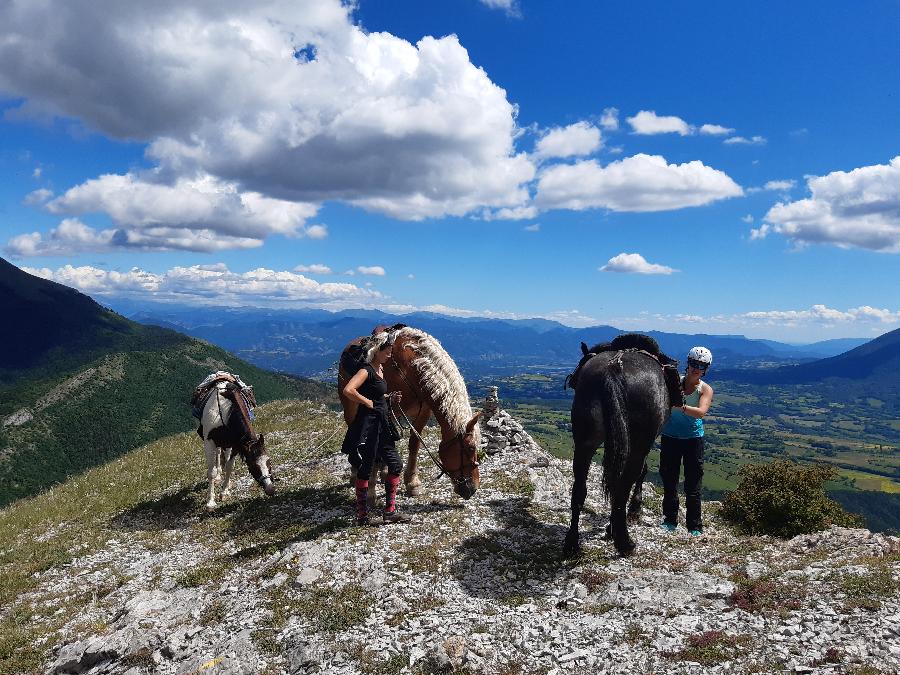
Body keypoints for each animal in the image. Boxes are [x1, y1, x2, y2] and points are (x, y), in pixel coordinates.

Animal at [200, 378, 274, 510]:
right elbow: (211, 472)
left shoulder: (236, 444)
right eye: (253, 466)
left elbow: (230, 466)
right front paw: (210, 502)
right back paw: (218, 476)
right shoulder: (209, 442)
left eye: (269, 462)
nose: (270, 489)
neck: (226, 413)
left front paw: (224, 492)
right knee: (218, 454)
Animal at [338, 328, 482, 502]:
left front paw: (412, 483)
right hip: (351, 406)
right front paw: (371, 489)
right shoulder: (385, 408)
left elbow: (414, 443)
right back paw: (355, 474)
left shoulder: (423, 411)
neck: (408, 369)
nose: (473, 488)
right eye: (470, 448)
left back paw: (383, 472)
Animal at [564, 336, 676, 556]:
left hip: (584, 442)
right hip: (637, 445)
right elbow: (639, 474)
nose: (572, 380)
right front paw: (631, 512)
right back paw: (624, 541)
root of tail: (614, 367)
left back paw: (572, 543)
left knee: (579, 488)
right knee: (624, 487)